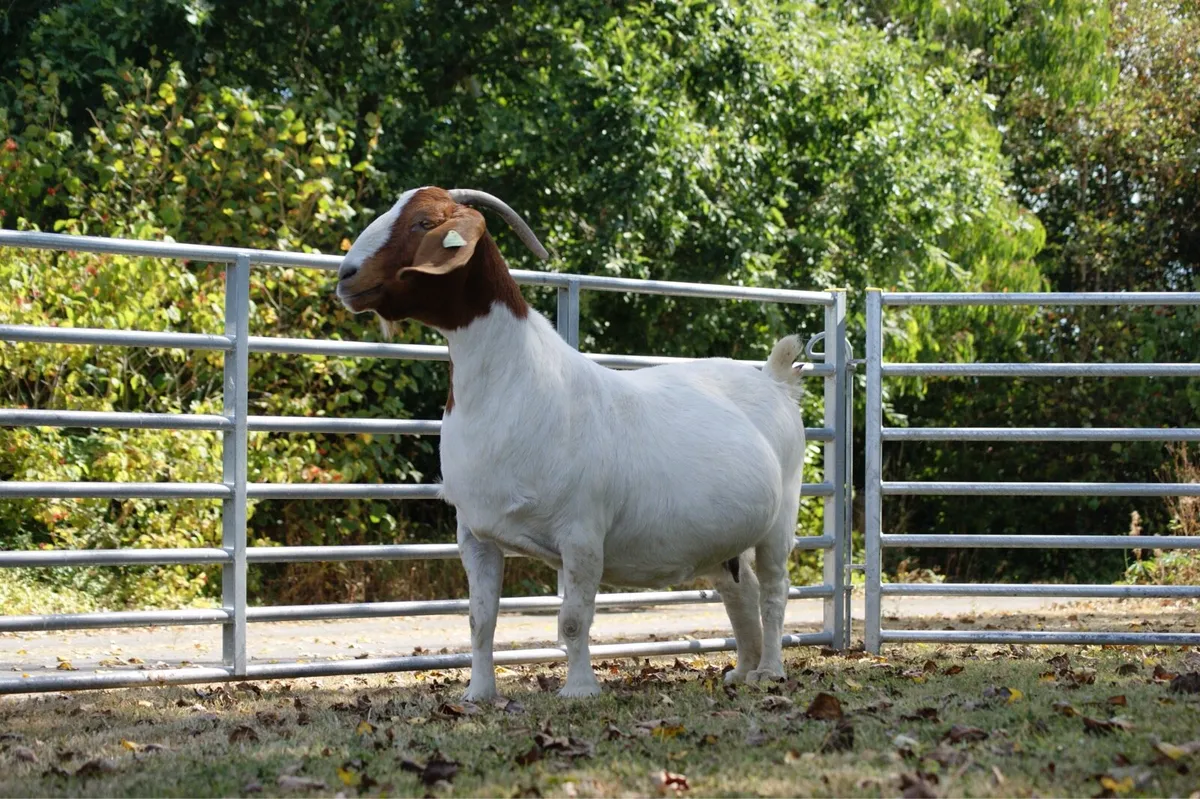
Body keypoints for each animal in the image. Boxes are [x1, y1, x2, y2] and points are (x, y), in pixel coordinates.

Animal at [336, 187, 806, 698]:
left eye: (424, 223)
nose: (346, 276)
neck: (517, 384)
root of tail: (775, 379)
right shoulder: (475, 534)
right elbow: (481, 621)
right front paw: (479, 694)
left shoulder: (581, 533)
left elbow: (573, 620)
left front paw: (579, 691)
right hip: (727, 540)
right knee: (740, 589)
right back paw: (742, 669)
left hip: (781, 517)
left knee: (775, 591)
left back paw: (770, 670)